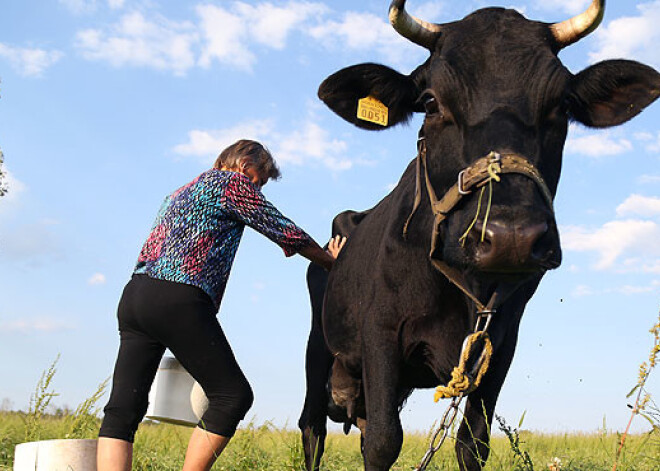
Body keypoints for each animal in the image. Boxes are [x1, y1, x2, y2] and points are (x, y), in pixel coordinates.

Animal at [300, 1, 660, 470]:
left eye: (562, 104)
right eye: (430, 102)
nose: (511, 236)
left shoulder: (501, 343)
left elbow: (472, 442)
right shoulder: (380, 331)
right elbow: (381, 440)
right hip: (317, 348)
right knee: (313, 429)